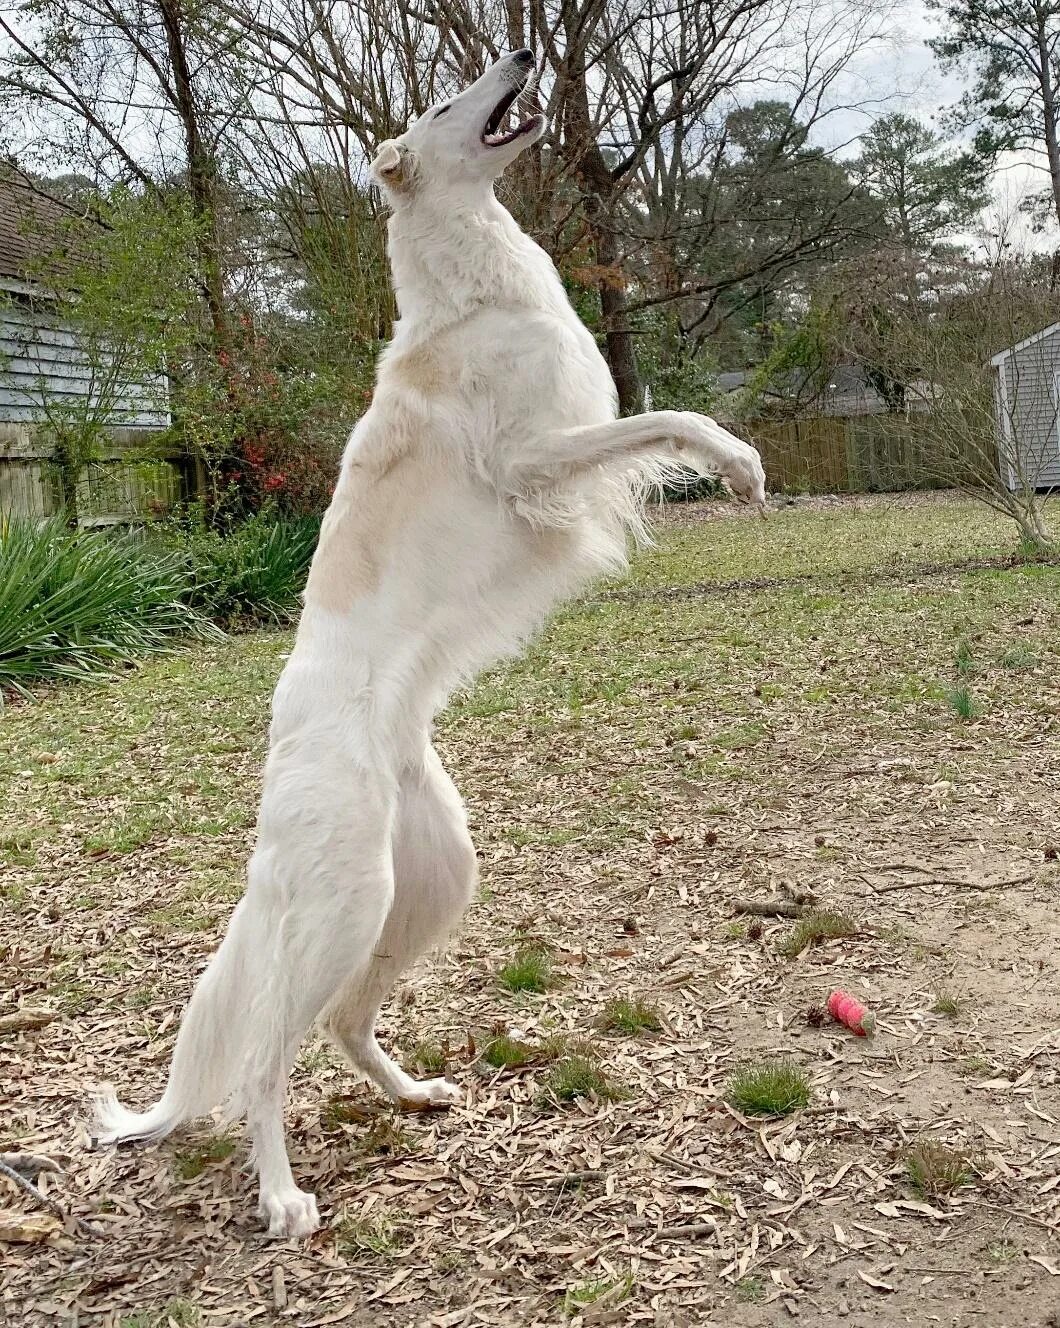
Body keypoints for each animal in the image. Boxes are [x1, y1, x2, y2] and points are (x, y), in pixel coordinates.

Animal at [95, 49, 770, 1232]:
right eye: (450, 100)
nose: (522, 54)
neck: (476, 289)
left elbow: (658, 424)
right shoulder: (538, 458)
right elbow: (672, 419)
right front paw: (737, 464)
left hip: (432, 878)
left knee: (341, 1022)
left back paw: (411, 1093)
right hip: (345, 900)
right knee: (266, 1059)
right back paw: (282, 1197)